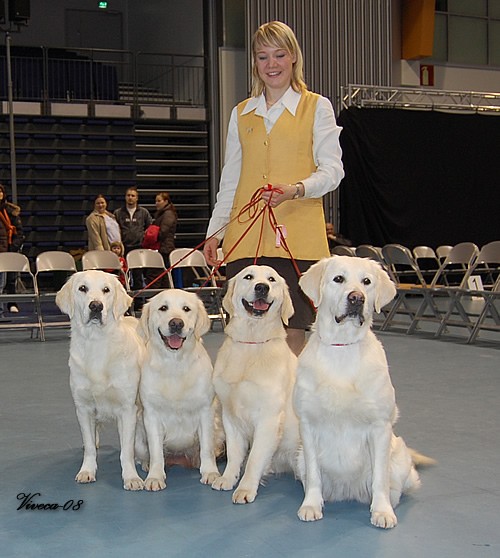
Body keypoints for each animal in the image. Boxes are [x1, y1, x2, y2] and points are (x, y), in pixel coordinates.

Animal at [56, 270, 144, 490]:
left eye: (106, 290)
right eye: (82, 288)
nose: (96, 306)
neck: (96, 342)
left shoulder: (127, 408)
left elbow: (126, 450)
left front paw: (131, 477)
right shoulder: (83, 407)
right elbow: (89, 447)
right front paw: (86, 471)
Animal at [136, 289, 224, 491]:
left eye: (186, 309)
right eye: (163, 308)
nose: (176, 323)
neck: (175, 364)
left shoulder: (206, 412)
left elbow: (206, 448)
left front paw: (210, 472)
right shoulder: (151, 415)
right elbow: (156, 452)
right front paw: (155, 477)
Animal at [212, 264, 300, 503]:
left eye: (272, 279)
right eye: (248, 277)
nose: (262, 287)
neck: (251, 342)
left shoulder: (268, 418)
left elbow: (254, 458)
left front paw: (245, 488)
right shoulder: (230, 415)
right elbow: (235, 454)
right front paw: (227, 478)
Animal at [293, 256, 434, 528]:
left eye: (366, 282)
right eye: (338, 279)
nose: (357, 298)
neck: (342, 346)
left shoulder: (379, 427)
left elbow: (380, 478)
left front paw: (382, 511)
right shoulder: (307, 425)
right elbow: (314, 474)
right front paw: (310, 505)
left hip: (399, 455)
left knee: (398, 484)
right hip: (299, 458)